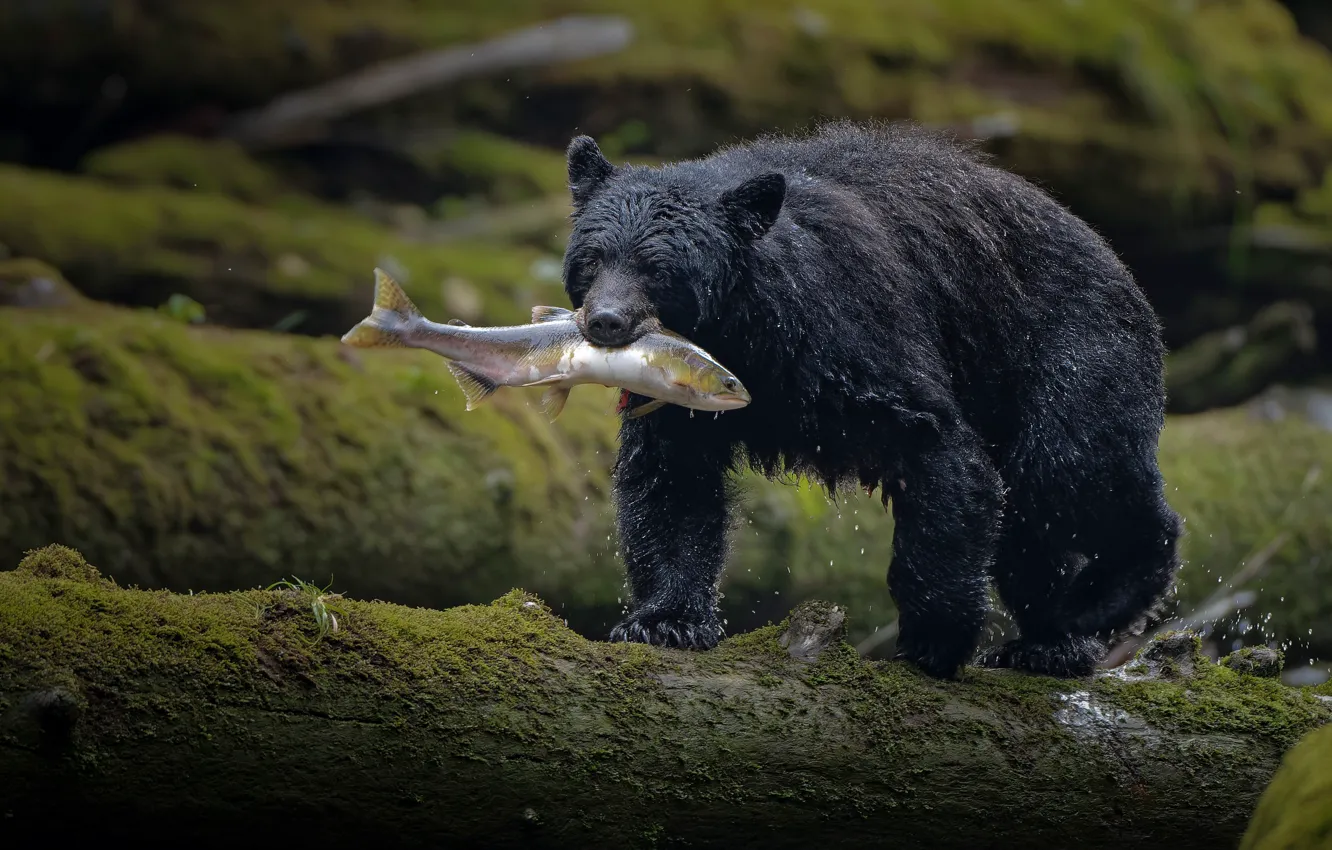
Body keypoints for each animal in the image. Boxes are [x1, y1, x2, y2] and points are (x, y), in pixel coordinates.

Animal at [556, 121, 1182, 679]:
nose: (606, 321)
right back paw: (1050, 640)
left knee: (1070, 473)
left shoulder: (850, 328)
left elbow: (939, 448)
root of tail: (1121, 267)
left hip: (1072, 353)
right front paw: (666, 620)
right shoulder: (678, 389)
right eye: (592, 258)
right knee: (1032, 527)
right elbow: (672, 484)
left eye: (657, 269)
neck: (744, 327)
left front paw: (934, 637)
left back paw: (1104, 599)